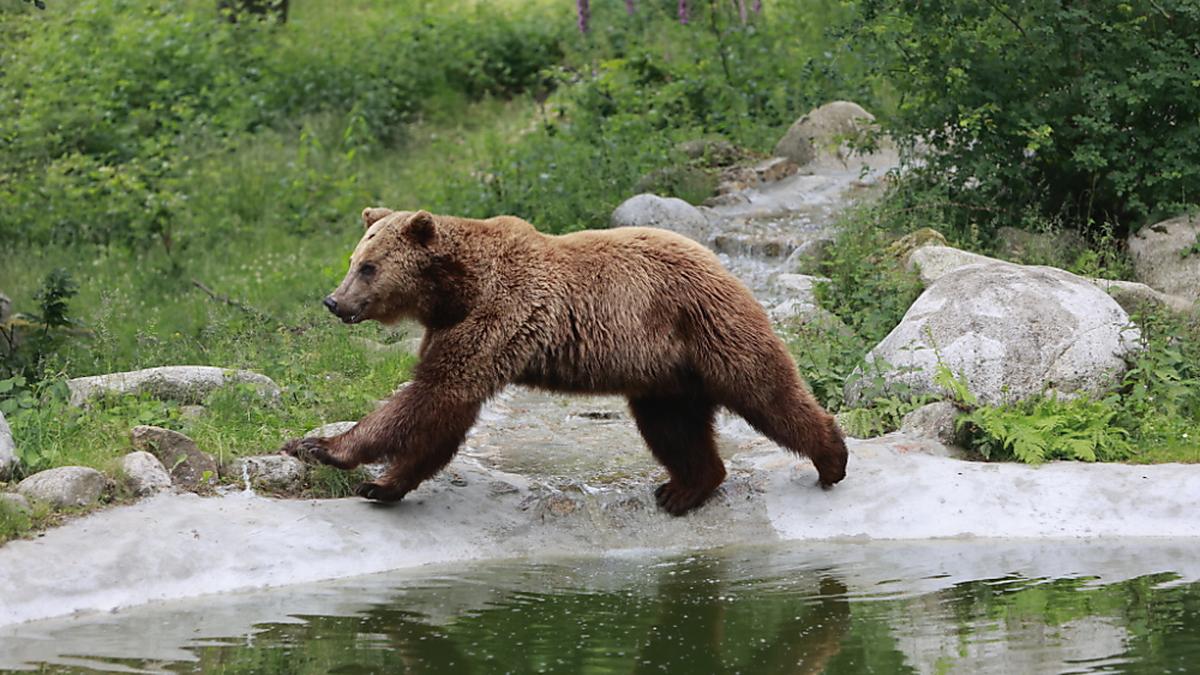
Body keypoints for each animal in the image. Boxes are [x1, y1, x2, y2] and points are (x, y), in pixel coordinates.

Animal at [283, 207, 844, 511]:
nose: (335, 301)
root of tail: (720, 262)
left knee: (764, 388)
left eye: (369, 267)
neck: (455, 289)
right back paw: (685, 489)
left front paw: (317, 446)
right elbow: (443, 412)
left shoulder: (501, 311)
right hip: (665, 371)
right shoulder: (454, 327)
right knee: (672, 425)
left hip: (703, 323)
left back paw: (831, 457)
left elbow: (433, 396)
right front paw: (382, 484)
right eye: (353, 260)